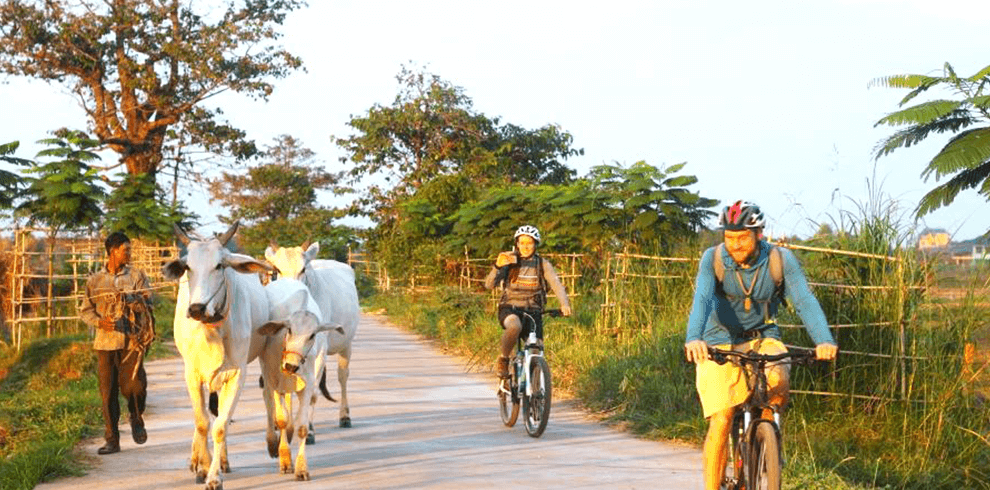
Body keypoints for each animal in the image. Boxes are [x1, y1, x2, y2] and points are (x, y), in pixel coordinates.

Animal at [163, 222, 274, 490]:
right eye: (188, 267)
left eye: (219, 266)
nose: (196, 309)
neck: (211, 331)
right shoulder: (191, 375)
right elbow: (202, 422)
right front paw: (203, 466)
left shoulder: (236, 376)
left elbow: (220, 426)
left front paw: (214, 476)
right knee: (203, 417)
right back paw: (197, 459)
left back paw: (222, 461)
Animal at [260, 278, 344, 480]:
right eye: (289, 329)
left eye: (312, 335)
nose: (290, 366)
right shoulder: (274, 380)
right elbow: (281, 419)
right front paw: (284, 460)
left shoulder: (308, 384)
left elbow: (302, 427)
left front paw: (301, 468)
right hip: (267, 375)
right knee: (269, 403)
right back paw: (272, 442)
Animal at [268, 243, 364, 426]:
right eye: (277, 270)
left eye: (303, 269)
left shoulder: (319, 350)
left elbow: (311, 391)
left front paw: (308, 426)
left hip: (346, 344)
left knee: (342, 376)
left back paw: (345, 415)